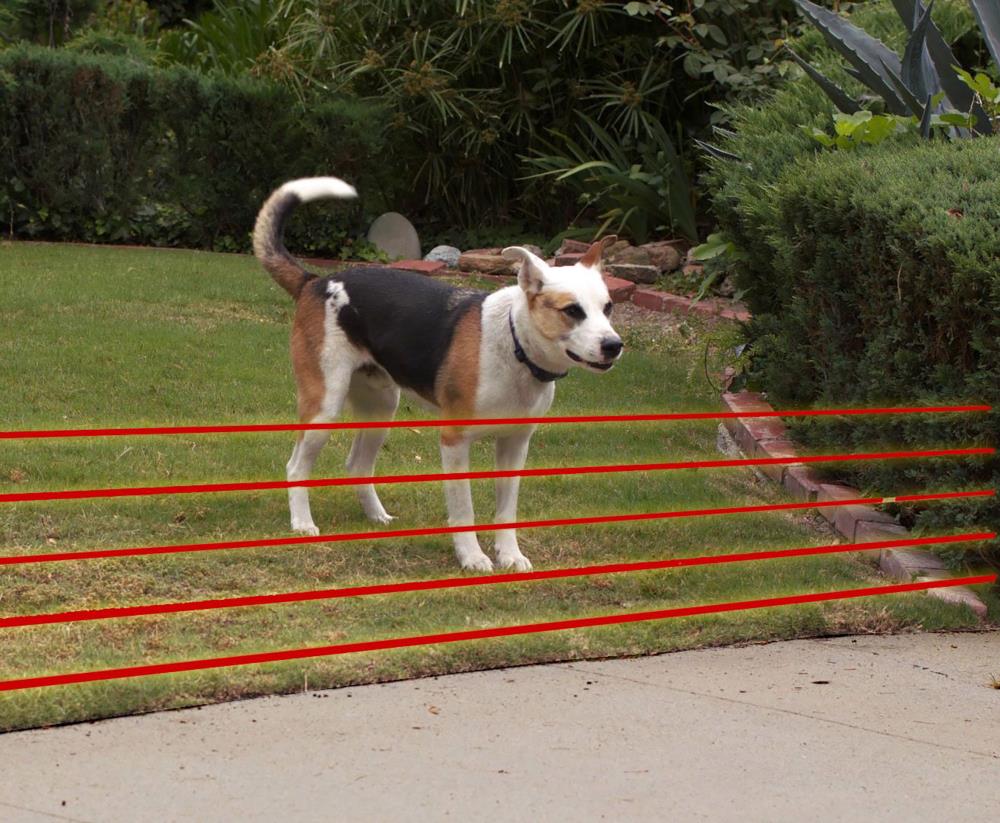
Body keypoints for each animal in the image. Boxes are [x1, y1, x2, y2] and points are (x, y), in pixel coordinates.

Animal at [254, 177, 620, 572]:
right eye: (572, 311)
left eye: (608, 307)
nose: (614, 345)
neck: (514, 347)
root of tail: (316, 281)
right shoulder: (454, 442)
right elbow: (464, 510)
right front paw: (472, 557)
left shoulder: (515, 445)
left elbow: (506, 511)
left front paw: (509, 555)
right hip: (324, 407)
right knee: (296, 466)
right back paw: (302, 523)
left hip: (381, 410)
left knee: (357, 465)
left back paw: (376, 516)